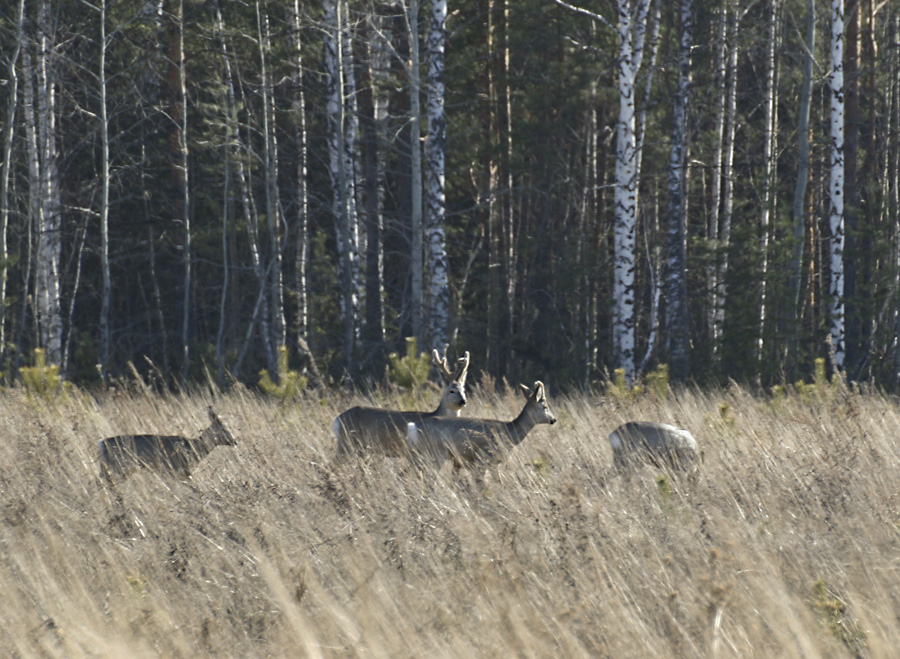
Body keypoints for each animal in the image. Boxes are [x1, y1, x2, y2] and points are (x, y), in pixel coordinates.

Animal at [98, 404, 236, 482]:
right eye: (225, 429)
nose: (235, 441)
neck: (193, 448)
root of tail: (102, 443)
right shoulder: (173, 470)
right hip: (120, 466)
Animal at [330, 346, 472, 464]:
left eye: (464, 390)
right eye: (451, 391)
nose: (463, 401)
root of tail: (337, 419)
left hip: (361, 448)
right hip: (346, 443)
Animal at [406, 378, 556, 482]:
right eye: (545, 406)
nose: (553, 419)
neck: (508, 432)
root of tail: (414, 427)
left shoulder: (495, 463)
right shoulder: (483, 459)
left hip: (419, 455)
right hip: (437, 452)